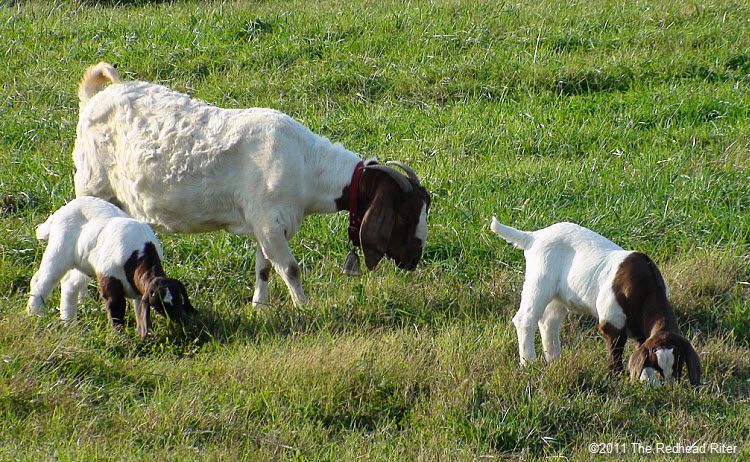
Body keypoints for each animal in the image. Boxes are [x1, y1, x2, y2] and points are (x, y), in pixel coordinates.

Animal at [27, 194, 195, 336]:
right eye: (160, 304)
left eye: (179, 298)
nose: (181, 320)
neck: (139, 254)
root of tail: (60, 211)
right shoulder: (110, 278)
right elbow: (116, 309)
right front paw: (119, 337)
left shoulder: (139, 291)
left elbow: (139, 310)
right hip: (59, 250)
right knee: (42, 281)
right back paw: (35, 315)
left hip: (84, 261)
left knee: (70, 283)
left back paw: (68, 322)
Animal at [72, 62, 432, 306]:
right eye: (405, 215)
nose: (415, 257)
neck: (307, 164)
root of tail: (93, 99)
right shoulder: (271, 224)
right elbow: (290, 269)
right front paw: (304, 307)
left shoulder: (264, 223)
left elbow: (264, 268)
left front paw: (260, 305)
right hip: (92, 184)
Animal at [490, 218, 704, 384]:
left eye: (678, 364)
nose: (670, 385)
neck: (646, 288)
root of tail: (534, 237)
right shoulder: (611, 319)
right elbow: (616, 348)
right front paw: (617, 377)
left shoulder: (641, 329)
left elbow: (641, 349)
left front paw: (648, 382)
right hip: (540, 279)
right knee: (526, 319)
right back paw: (529, 363)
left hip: (559, 296)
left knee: (549, 322)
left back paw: (554, 360)